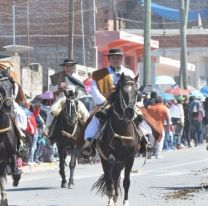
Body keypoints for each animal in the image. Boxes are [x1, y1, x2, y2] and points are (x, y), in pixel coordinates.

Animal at [91, 73, 141, 206]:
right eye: (122, 91)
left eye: (137, 91)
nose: (129, 113)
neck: (123, 131)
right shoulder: (109, 156)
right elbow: (110, 179)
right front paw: (110, 200)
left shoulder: (130, 158)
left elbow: (126, 181)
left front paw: (125, 202)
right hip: (107, 160)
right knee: (111, 178)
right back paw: (112, 197)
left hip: (121, 162)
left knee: (116, 177)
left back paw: (115, 197)